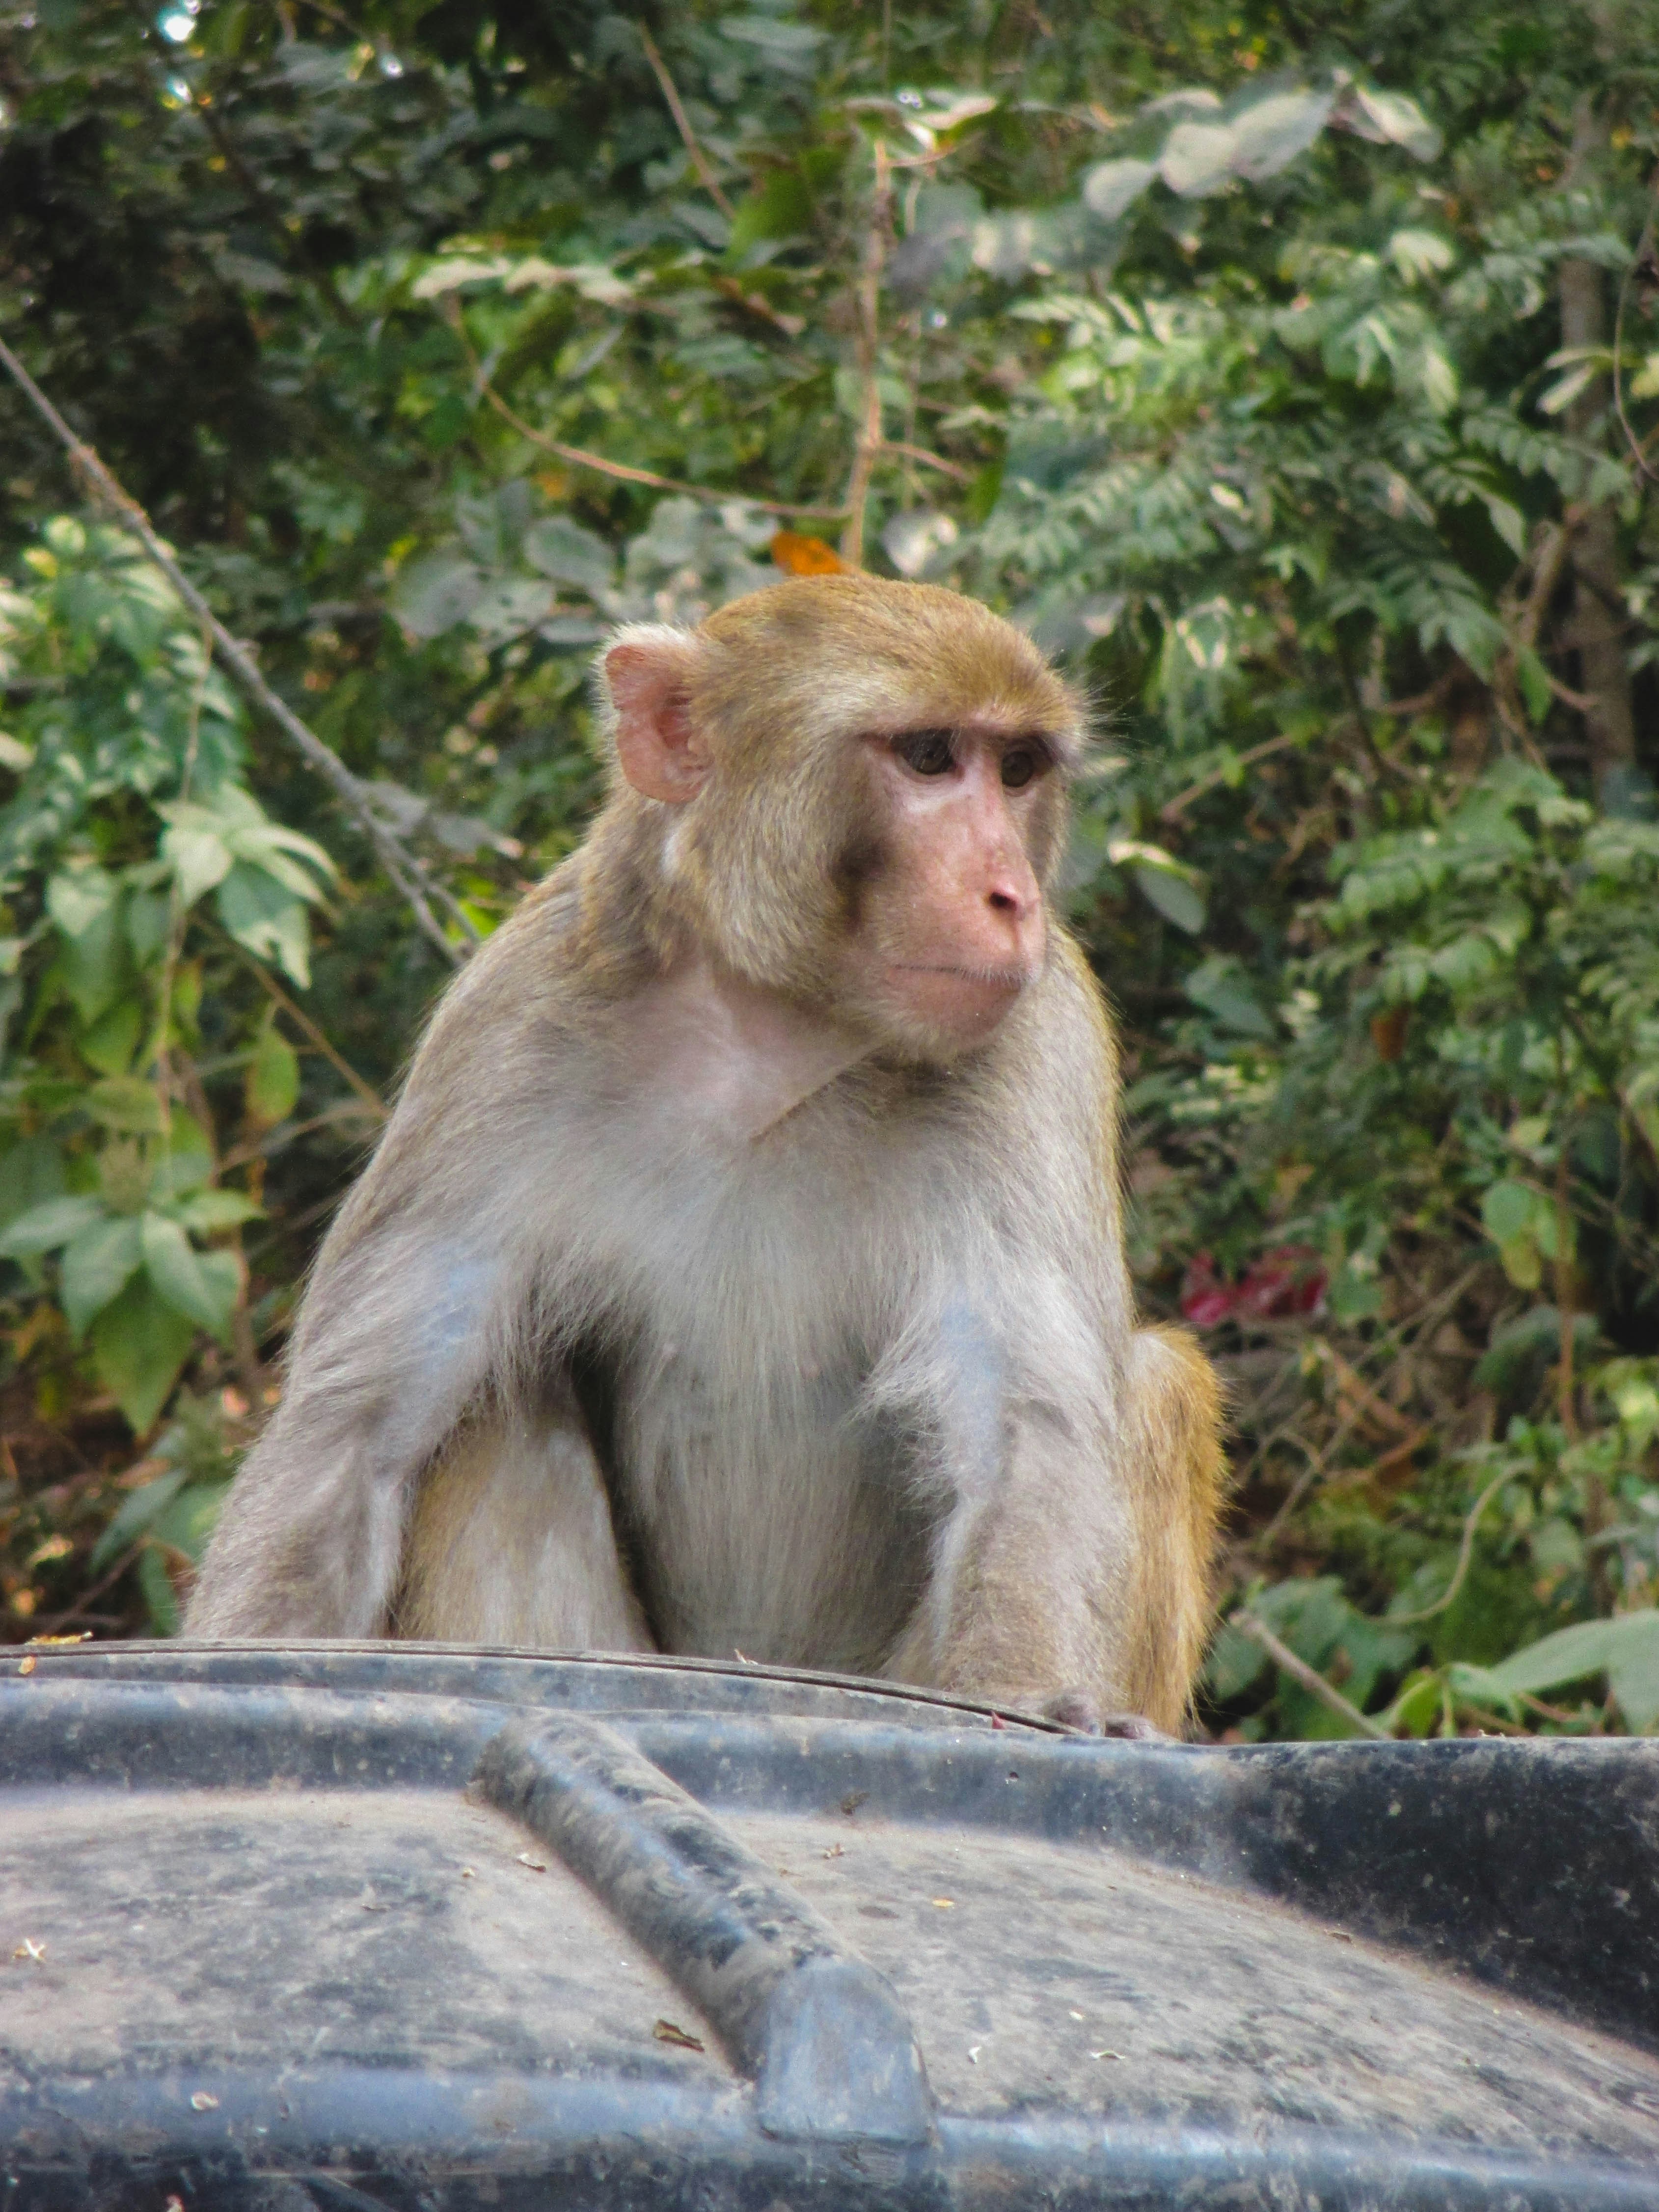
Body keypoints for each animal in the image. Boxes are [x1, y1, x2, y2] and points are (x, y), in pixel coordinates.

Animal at [187, 574, 1225, 1735]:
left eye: (1016, 769)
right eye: (927, 756)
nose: (1011, 896)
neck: (768, 1039)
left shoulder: (1040, 1034)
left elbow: (1024, 1426)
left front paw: (1028, 1696)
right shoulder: (504, 1030)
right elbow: (355, 1430)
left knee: (1153, 1379)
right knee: (495, 1400)